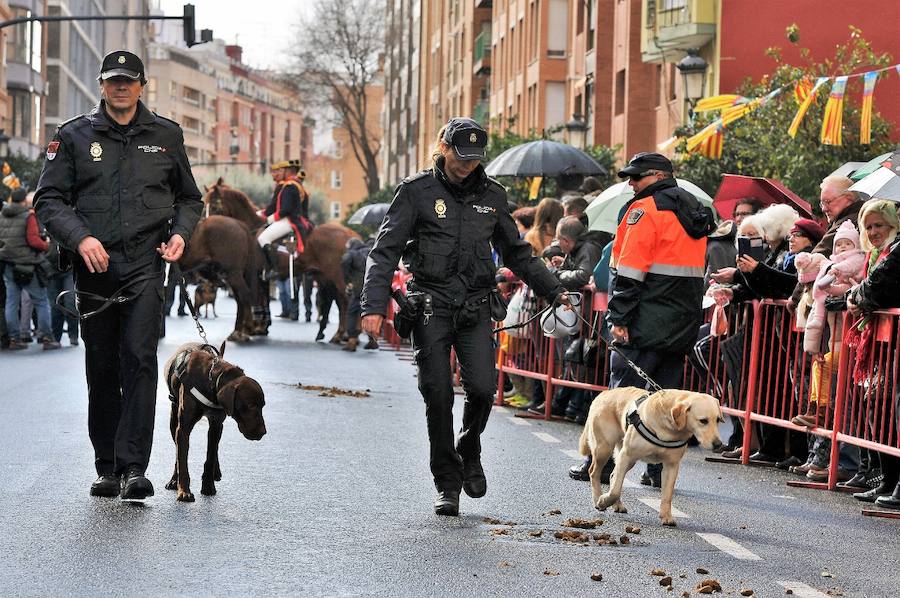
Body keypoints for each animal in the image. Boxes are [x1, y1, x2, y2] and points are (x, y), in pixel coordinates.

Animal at [205, 178, 358, 344]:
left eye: (214, 206)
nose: (204, 226)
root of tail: (350, 234)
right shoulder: (260, 278)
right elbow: (260, 300)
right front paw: (259, 327)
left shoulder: (249, 276)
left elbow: (248, 299)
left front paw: (245, 329)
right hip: (325, 277)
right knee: (338, 301)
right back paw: (335, 334)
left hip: (337, 278)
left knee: (346, 301)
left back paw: (346, 335)